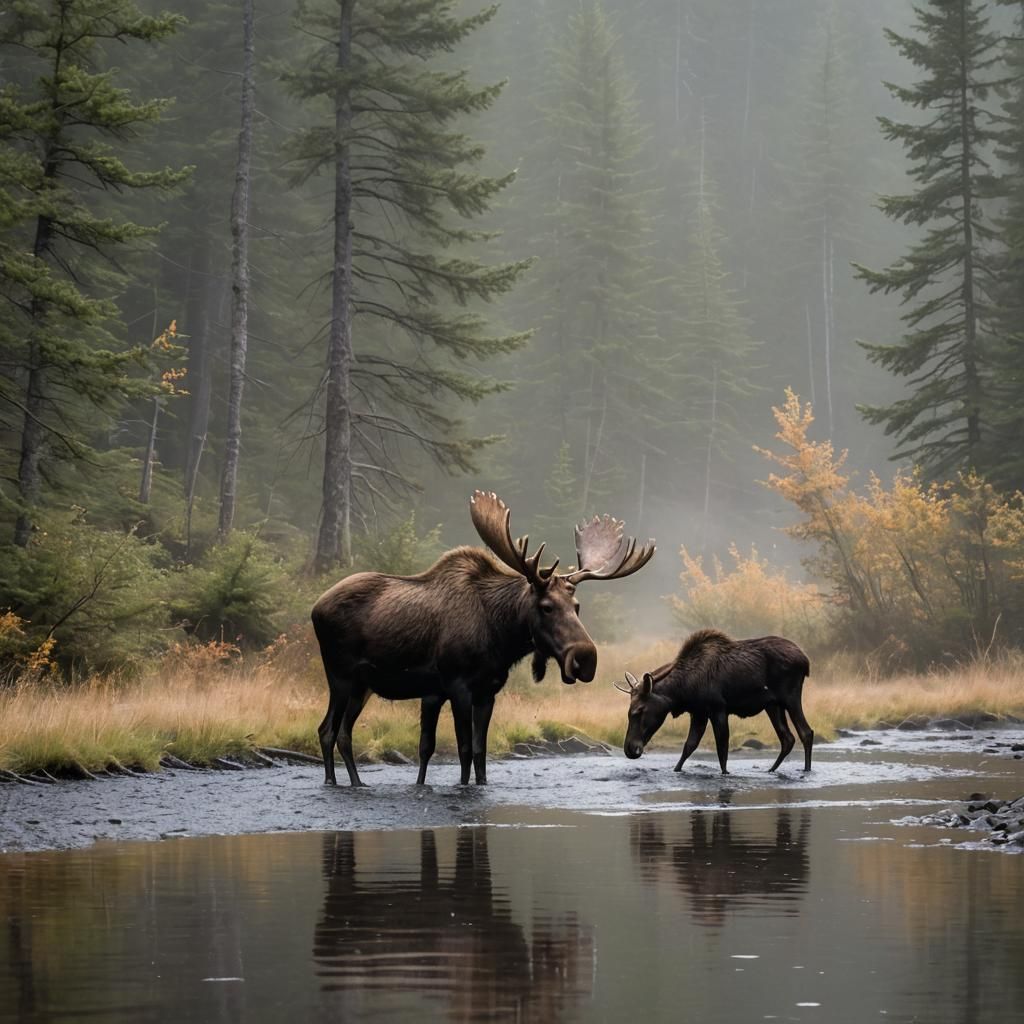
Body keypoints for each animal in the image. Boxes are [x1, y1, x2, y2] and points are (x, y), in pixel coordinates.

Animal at [311, 490, 655, 787]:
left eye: (577, 606)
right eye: (546, 606)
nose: (585, 658)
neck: (501, 637)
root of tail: (315, 607)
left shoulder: (485, 691)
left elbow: (475, 751)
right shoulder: (457, 686)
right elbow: (462, 750)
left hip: (363, 687)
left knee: (344, 733)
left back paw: (356, 783)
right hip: (340, 676)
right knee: (327, 729)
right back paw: (331, 782)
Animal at [616, 628, 813, 774]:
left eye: (639, 710)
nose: (629, 749)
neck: (681, 691)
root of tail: (806, 661)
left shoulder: (718, 709)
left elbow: (722, 750)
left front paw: (725, 773)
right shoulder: (699, 713)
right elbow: (689, 746)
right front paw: (677, 769)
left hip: (790, 697)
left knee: (806, 732)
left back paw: (806, 770)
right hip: (773, 705)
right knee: (788, 738)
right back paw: (771, 770)